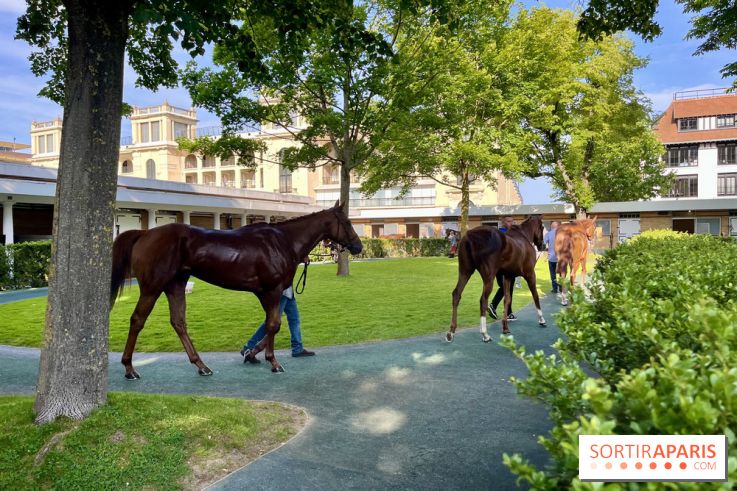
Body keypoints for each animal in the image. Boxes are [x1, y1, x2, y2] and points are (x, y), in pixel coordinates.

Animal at [110, 201, 363, 378]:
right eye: (348, 222)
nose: (359, 246)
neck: (283, 241)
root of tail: (145, 233)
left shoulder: (267, 293)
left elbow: (272, 323)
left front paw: (253, 353)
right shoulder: (272, 290)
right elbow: (274, 324)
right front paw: (273, 361)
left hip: (176, 285)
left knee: (178, 322)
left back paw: (201, 366)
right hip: (152, 287)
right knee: (137, 320)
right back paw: (129, 368)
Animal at [446, 215, 546, 343]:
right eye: (542, 227)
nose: (543, 245)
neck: (523, 237)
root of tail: (469, 235)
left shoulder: (508, 276)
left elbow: (507, 299)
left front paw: (505, 327)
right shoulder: (530, 274)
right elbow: (535, 295)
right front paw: (542, 320)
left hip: (465, 272)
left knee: (456, 294)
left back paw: (451, 332)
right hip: (488, 277)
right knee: (483, 300)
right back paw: (485, 334)